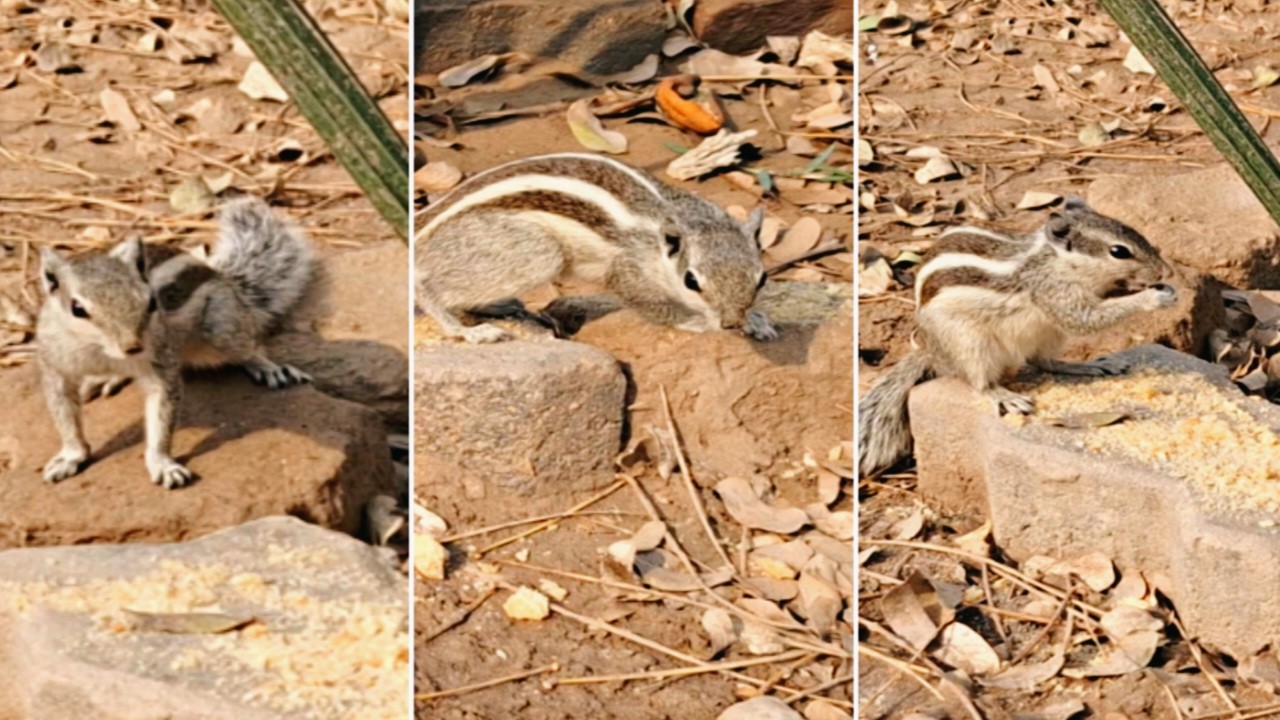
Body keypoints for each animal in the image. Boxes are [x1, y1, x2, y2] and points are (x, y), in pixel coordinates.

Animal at [36, 197, 314, 489]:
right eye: (77, 309)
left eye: (152, 302)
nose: (134, 346)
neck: (101, 351)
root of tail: (225, 280)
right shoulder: (55, 366)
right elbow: (64, 417)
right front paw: (70, 456)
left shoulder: (161, 362)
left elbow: (162, 415)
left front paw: (162, 464)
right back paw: (107, 379)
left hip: (222, 326)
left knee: (248, 347)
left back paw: (270, 368)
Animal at [414, 152, 778, 343]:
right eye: (691, 280)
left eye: (762, 279)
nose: (731, 323)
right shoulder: (627, 271)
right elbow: (653, 306)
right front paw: (697, 322)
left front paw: (756, 320)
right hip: (535, 252)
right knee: (428, 287)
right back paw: (466, 331)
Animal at [858, 197, 1178, 477]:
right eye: (1119, 251)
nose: (1165, 271)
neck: (1054, 260)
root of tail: (932, 351)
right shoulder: (1054, 293)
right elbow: (1084, 319)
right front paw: (1151, 297)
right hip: (969, 344)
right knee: (979, 381)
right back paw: (1004, 395)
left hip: (1048, 334)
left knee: (1044, 361)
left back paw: (1088, 365)